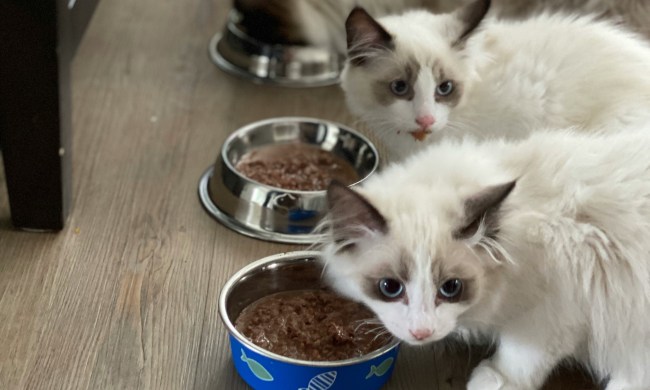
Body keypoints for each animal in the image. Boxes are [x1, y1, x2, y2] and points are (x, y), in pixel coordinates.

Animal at [318, 129, 648, 390]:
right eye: (390, 287)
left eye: (451, 288)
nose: (422, 332)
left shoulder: (555, 312)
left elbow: (521, 356)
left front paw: (495, 379)